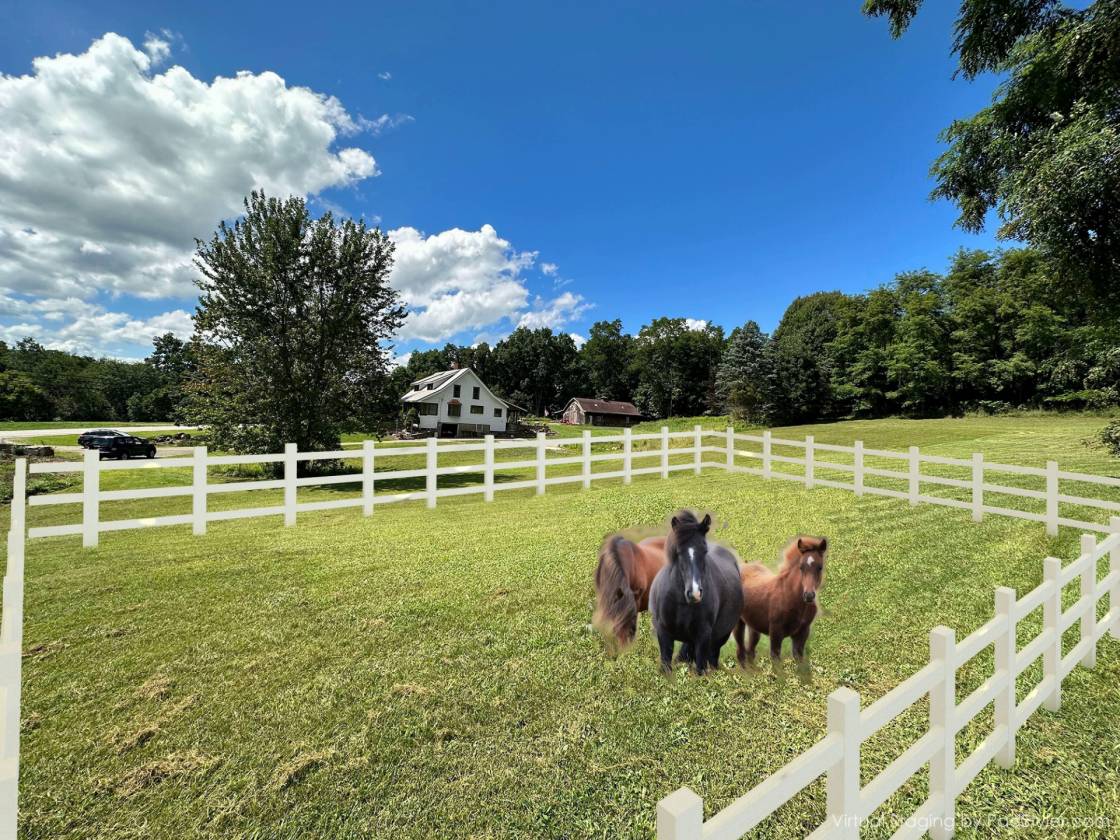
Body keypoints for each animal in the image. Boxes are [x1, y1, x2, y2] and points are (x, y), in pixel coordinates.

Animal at [649, 511, 743, 675]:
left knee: (712, 659)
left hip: (719, 639)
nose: (694, 593)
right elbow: (667, 665)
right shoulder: (664, 634)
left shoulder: (703, 637)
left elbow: (700, 669)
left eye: (704, 551)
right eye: (678, 552)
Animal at [733, 536, 827, 665]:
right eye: (801, 567)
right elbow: (776, 661)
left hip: (753, 625)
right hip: (738, 623)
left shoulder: (802, 633)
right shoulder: (775, 633)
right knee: (740, 652)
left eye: (820, 567)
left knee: (750, 651)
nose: (808, 596)